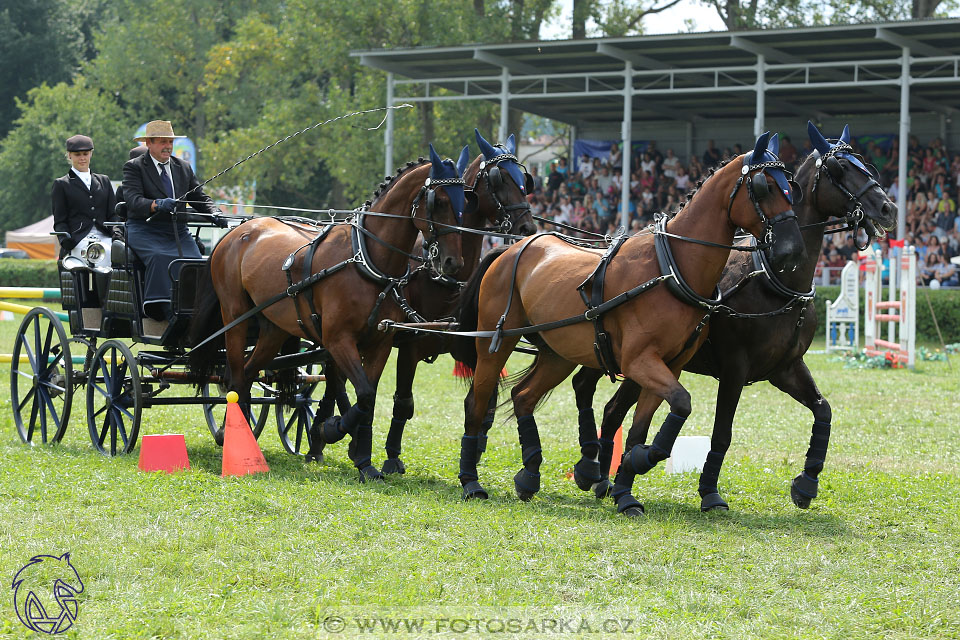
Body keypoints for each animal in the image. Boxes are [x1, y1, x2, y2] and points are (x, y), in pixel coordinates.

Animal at [188, 144, 468, 480]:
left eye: (465, 200)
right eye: (438, 201)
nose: (453, 262)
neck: (367, 261)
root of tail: (237, 231)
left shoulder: (380, 343)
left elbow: (367, 399)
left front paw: (363, 461)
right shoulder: (337, 340)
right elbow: (362, 394)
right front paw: (332, 430)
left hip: (273, 329)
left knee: (246, 376)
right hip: (234, 318)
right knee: (233, 376)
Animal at [380, 129, 544, 476]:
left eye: (524, 178)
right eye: (498, 179)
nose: (527, 227)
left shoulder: (471, 346)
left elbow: (487, 403)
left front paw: (476, 449)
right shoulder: (410, 347)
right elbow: (403, 401)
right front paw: (391, 456)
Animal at [454, 131, 808, 516]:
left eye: (791, 186)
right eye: (763, 187)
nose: (791, 249)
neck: (672, 268)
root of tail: (509, 250)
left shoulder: (670, 365)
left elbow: (646, 425)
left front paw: (626, 486)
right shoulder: (640, 361)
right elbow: (681, 403)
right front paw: (632, 466)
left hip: (558, 354)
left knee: (522, 397)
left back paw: (530, 474)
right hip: (496, 345)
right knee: (477, 404)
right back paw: (471, 481)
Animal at [568, 122, 892, 512]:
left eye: (865, 164)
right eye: (839, 169)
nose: (888, 208)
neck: (774, 279)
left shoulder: (785, 368)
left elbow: (823, 410)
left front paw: (807, 481)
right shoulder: (735, 368)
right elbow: (722, 432)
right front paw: (709, 490)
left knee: (610, 406)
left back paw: (604, 476)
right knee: (597, 395)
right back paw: (597, 471)